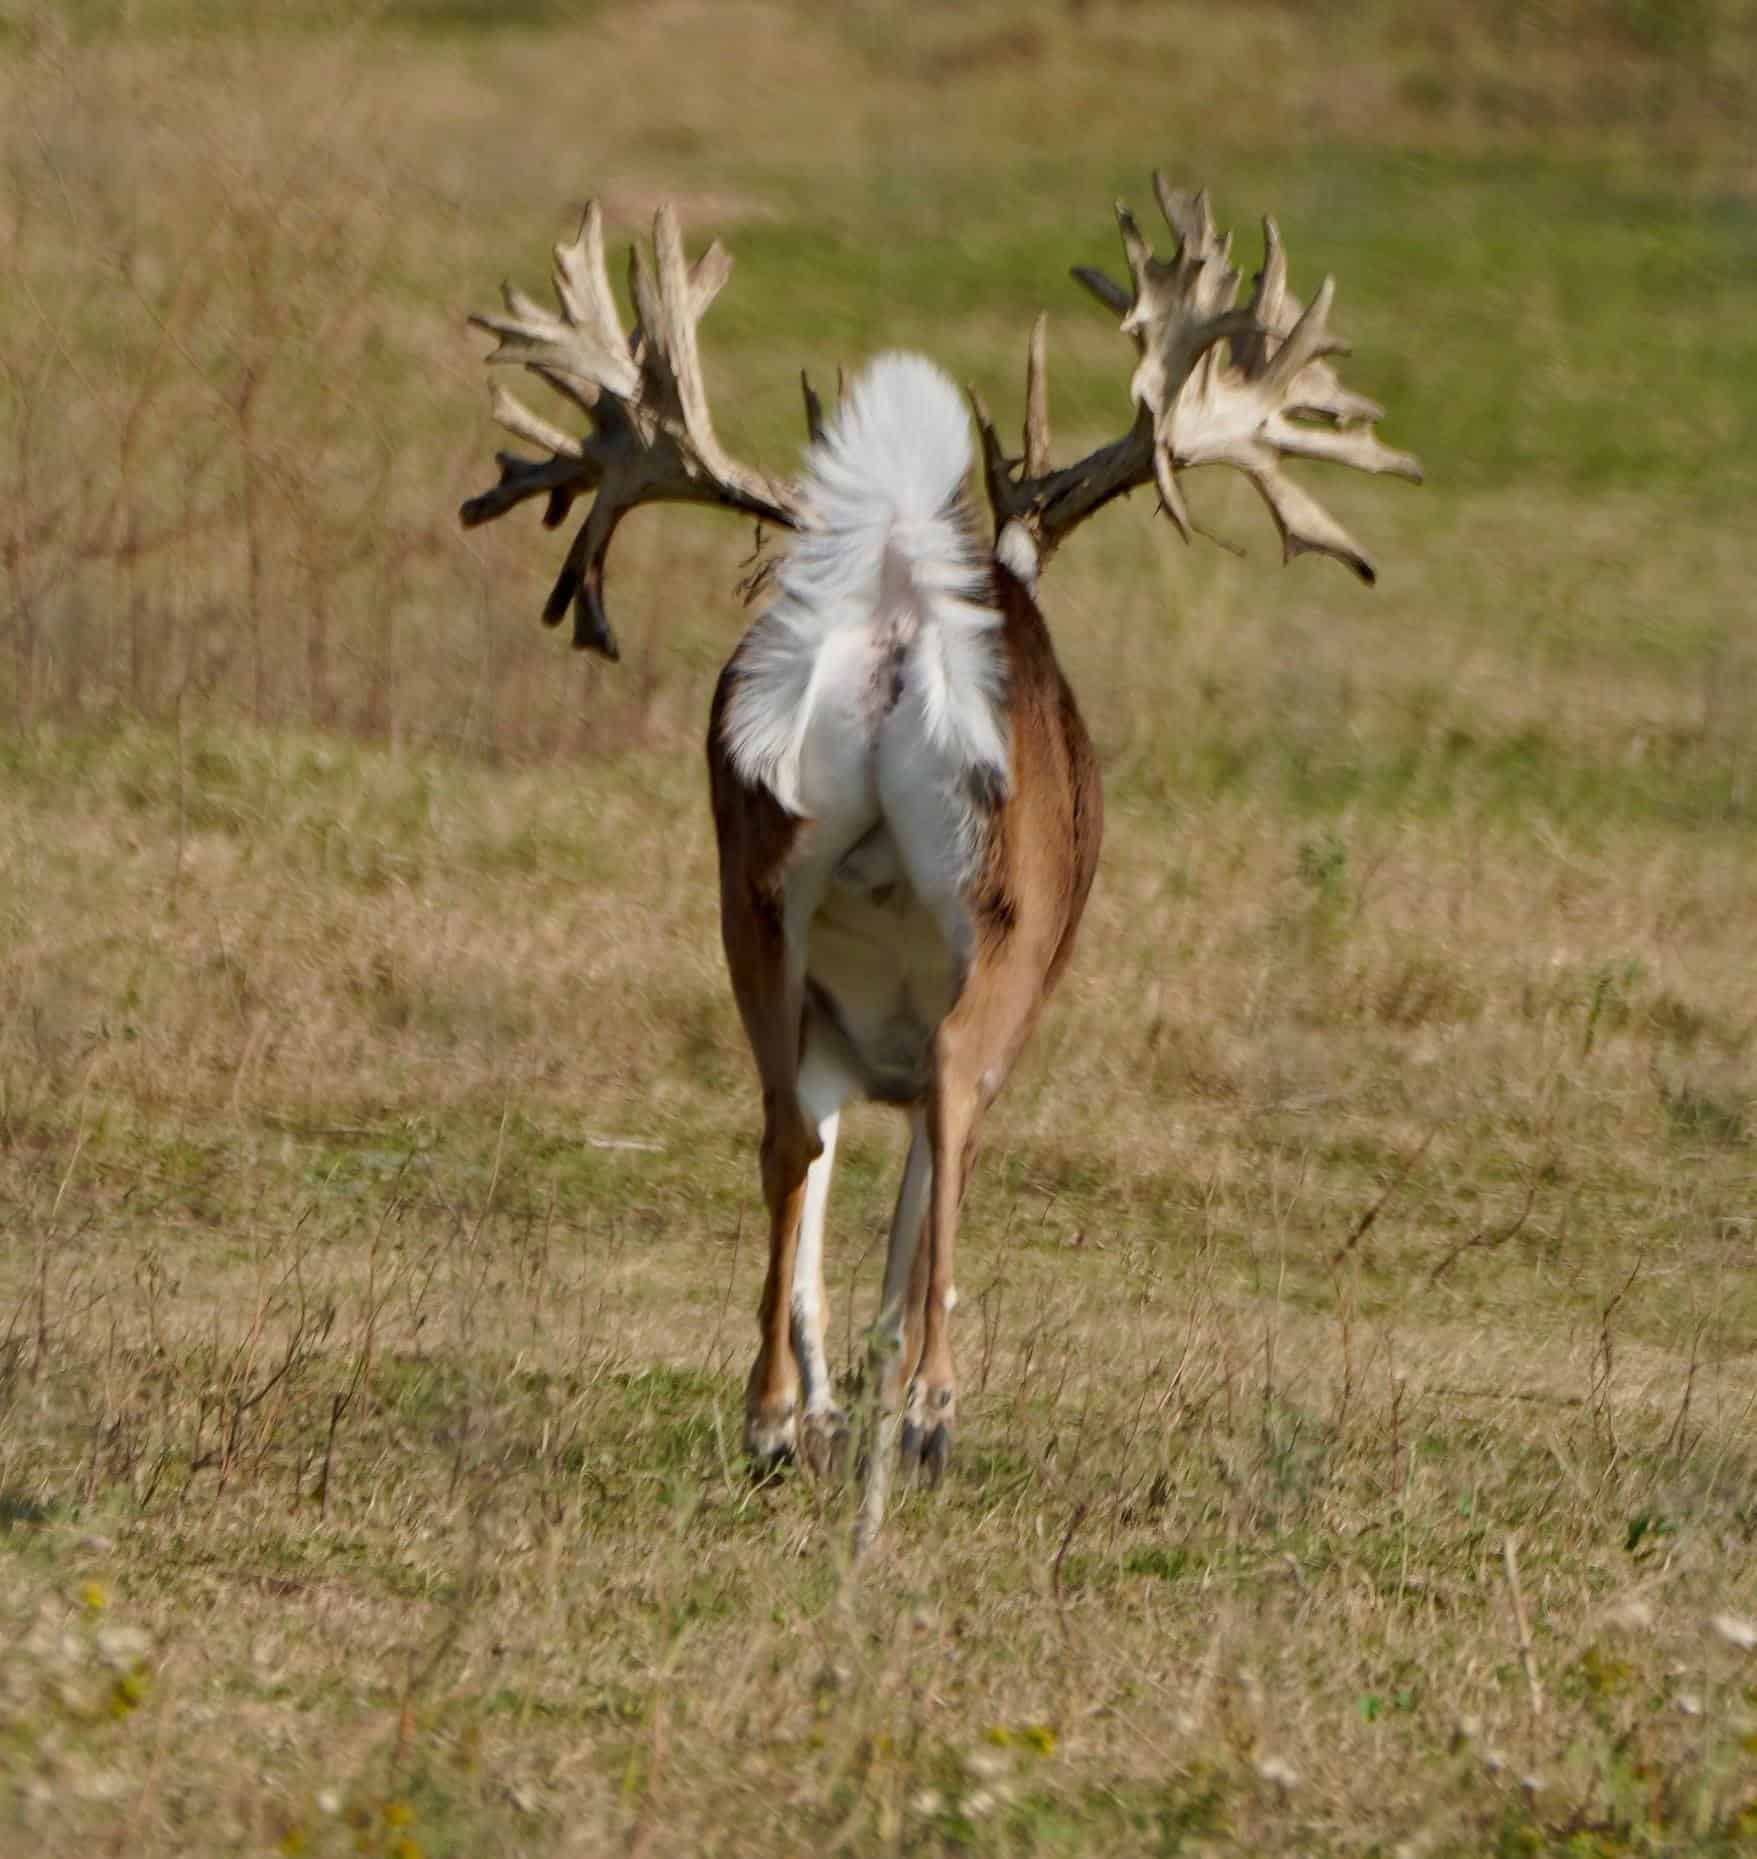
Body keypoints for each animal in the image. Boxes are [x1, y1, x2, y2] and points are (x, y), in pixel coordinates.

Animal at [460, 174, 1420, 1550]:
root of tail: (902, 611)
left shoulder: (834, 1019)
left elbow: (828, 1173)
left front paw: (816, 1404)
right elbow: (918, 1191)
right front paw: (882, 1398)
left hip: (752, 896)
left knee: (778, 1127)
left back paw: (771, 1419)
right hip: (1003, 919)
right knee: (955, 1102)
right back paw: (929, 1413)